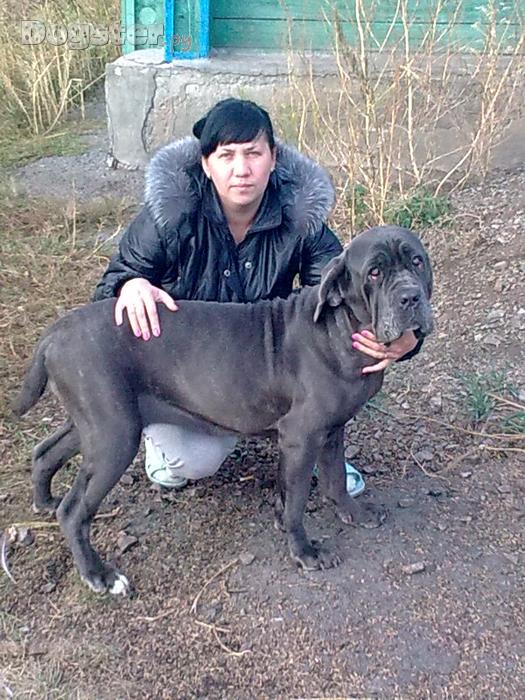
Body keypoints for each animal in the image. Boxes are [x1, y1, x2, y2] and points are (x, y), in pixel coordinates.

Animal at [14, 225, 433, 595]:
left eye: (417, 261)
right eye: (374, 272)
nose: (410, 297)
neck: (339, 330)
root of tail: (53, 333)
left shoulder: (331, 430)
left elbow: (333, 479)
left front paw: (354, 514)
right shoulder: (301, 437)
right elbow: (297, 499)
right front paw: (305, 551)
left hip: (96, 423)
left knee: (45, 451)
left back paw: (45, 501)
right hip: (115, 437)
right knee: (75, 511)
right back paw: (99, 575)